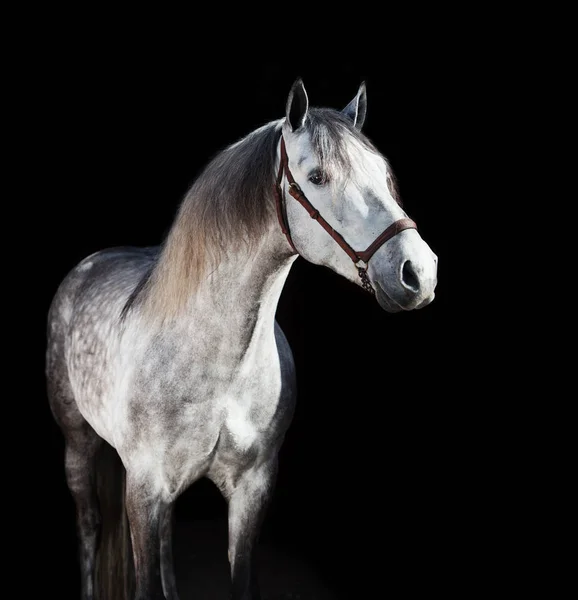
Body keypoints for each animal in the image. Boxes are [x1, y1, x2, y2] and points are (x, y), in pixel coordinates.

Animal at [45, 81, 436, 600]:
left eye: (382, 174)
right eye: (316, 176)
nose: (418, 272)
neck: (217, 363)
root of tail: (88, 265)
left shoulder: (252, 489)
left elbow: (239, 576)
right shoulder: (143, 488)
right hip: (79, 445)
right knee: (89, 527)